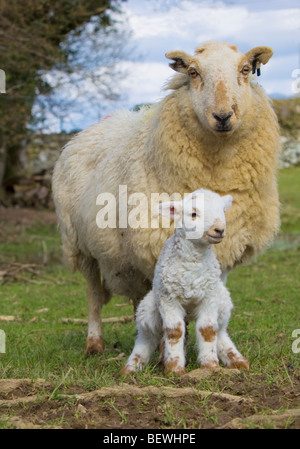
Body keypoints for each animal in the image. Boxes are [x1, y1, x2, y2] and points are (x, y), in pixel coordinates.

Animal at [123, 189, 250, 374]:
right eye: (193, 214)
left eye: (222, 211)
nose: (219, 229)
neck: (193, 264)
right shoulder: (168, 298)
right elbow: (174, 332)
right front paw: (174, 368)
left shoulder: (209, 297)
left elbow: (208, 330)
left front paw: (210, 366)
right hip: (148, 307)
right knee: (147, 337)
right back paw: (132, 367)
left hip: (223, 300)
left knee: (220, 331)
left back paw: (237, 360)